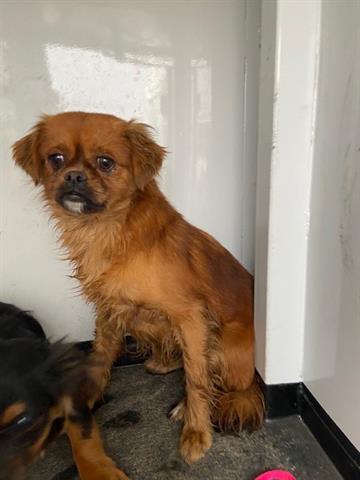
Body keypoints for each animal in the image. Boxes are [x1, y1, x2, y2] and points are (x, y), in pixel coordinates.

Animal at [13, 113, 264, 464]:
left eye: (105, 162)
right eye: (56, 159)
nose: (73, 175)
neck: (104, 229)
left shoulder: (191, 318)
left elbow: (197, 378)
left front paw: (196, 431)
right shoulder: (108, 310)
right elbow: (101, 356)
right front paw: (87, 400)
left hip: (224, 342)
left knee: (222, 384)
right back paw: (162, 362)